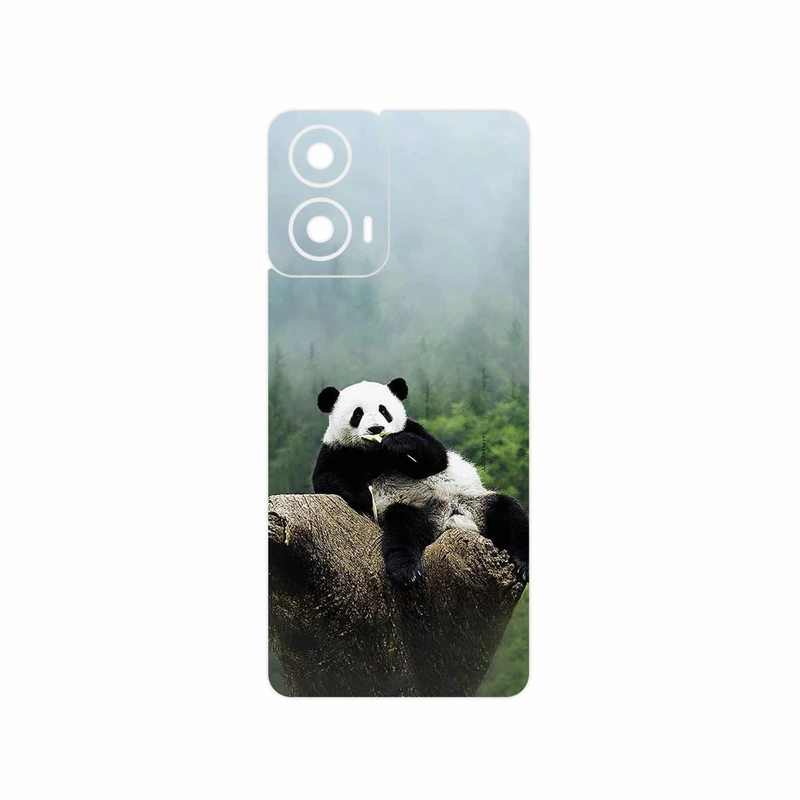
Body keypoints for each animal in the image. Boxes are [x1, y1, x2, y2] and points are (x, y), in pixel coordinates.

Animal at [312, 377, 529, 586]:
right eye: (357, 414)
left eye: (384, 410)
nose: (376, 428)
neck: (375, 453)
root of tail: (447, 517)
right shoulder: (336, 449)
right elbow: (325, 479)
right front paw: (365, 496)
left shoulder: (413, 429)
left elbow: (436, 457)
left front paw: (398, 444)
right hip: (410, 508)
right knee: (403, 530)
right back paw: (405, 570)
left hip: (473, 500)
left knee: (509, 514)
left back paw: (524, 564)